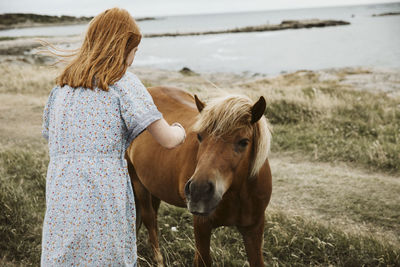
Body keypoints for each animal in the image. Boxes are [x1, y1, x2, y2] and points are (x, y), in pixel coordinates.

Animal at [126, 87, 274, 266]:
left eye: (244, 142)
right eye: (200, 136)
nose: (199, 191)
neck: (237, 192)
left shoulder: (254, 228)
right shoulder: (202, 225)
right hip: (136, 180)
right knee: (149, 218)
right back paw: (158, 259)